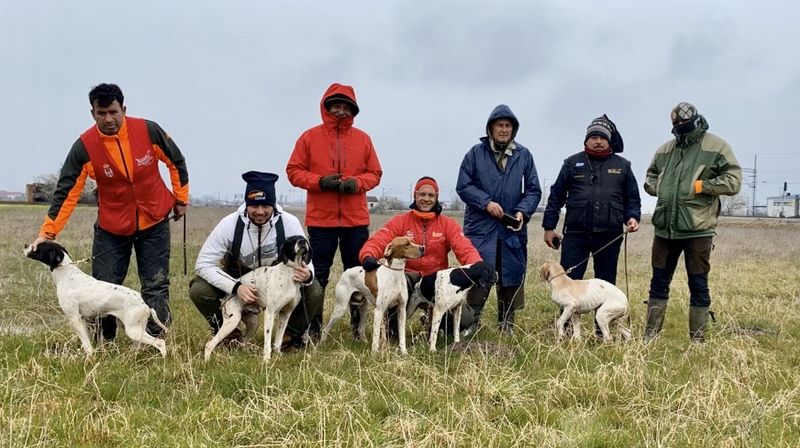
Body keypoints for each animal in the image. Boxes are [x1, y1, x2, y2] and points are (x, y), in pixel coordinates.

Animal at [23, 242, 169, 356]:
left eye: (38, 248)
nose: (25, 245)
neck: (66, 275)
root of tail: (145, 304)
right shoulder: (83, 319)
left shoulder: (75, 318)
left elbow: (87, 346)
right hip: (129, 327)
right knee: (138, 345)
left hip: (134, 330)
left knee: (160, 342)